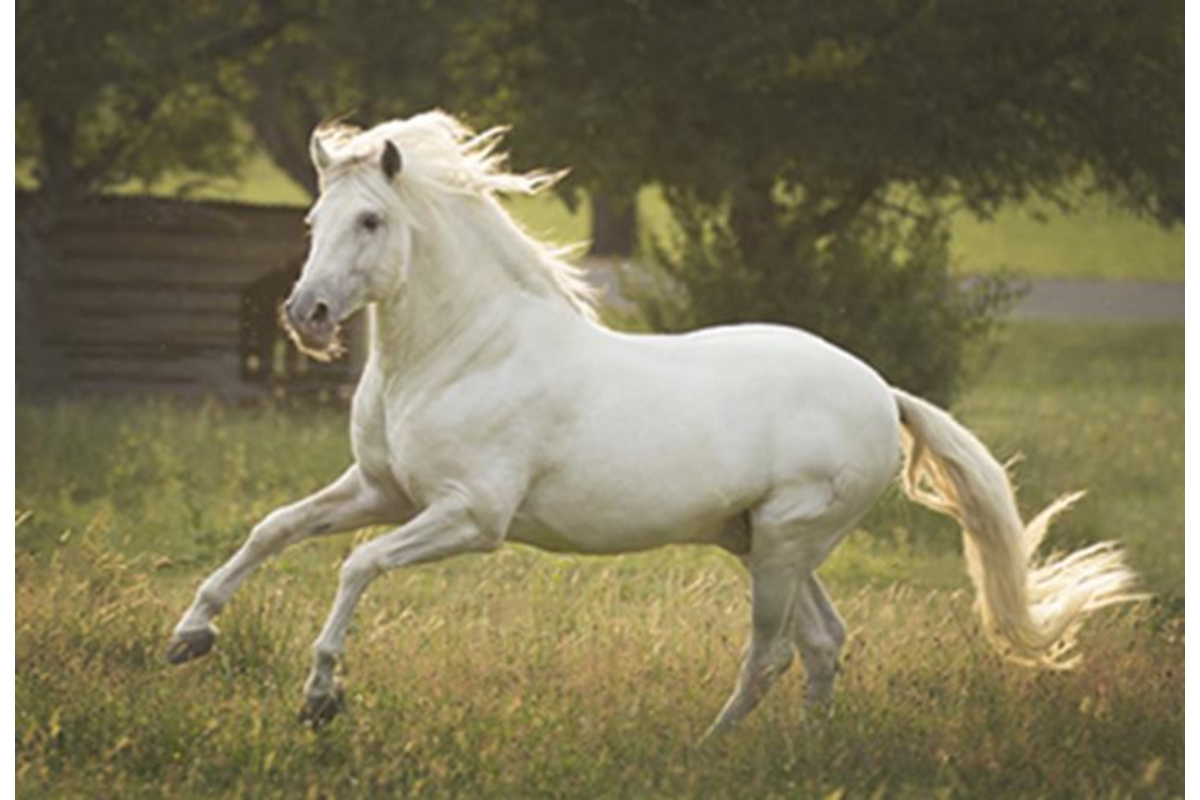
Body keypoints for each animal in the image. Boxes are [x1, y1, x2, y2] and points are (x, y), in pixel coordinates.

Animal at [167, 111, 1140, 736]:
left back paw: (714, 747)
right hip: (762, 541)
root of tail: (882, 391)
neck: (460, 353)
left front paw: (320, 697)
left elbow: (356, 565)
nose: (306, 315)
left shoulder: (468, 518)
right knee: (824, 643)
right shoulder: (381, 489)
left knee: (773, 653)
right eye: (313, 218)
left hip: (782, 544)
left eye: (371, 219)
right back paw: (806, 752)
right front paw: (189, 635)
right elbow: (273, 529)